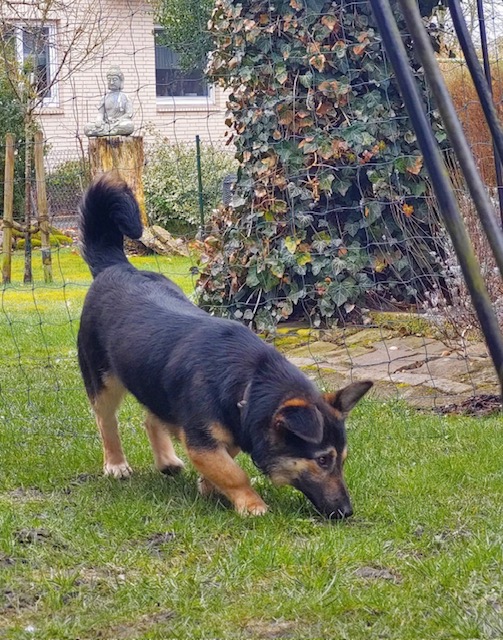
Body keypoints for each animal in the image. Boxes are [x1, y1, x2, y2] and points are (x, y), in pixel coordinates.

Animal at [77, 173, 372, 518]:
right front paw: (251, 503)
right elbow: (233, 472)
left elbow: (224, 460)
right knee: (106, 420)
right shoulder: (201, 439)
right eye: (323, 459)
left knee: (151, 418)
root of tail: (116, 266)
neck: (250, 383)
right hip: (102, 380)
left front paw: (208, 485)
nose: (346, 511)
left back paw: (166, 461)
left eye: (342, 459)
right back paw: (116, 464)